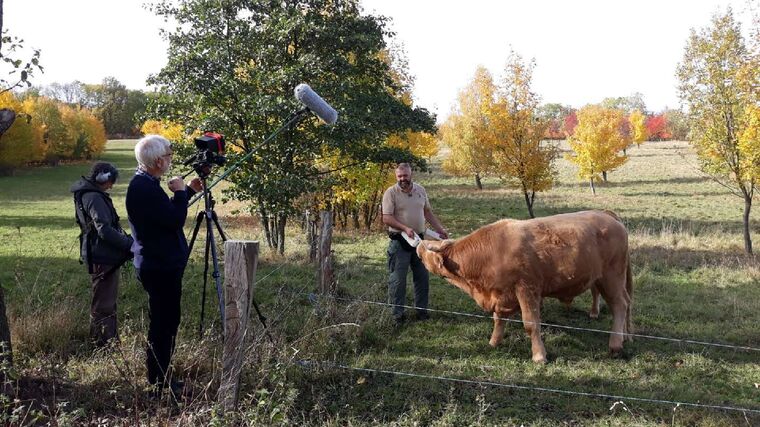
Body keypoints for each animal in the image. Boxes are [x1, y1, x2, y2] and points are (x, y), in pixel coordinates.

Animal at [418, 211, 632, 364]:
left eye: (429, 251)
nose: (419, 246)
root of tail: (609, 216)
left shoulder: (527, 289)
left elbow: (531, 324)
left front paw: (539, 356)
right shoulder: (502, 295)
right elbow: (499, 319)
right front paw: (494, 342)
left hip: (611, 277)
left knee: (619, 305)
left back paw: (615, 345)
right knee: (628, 301)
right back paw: (627, 336)